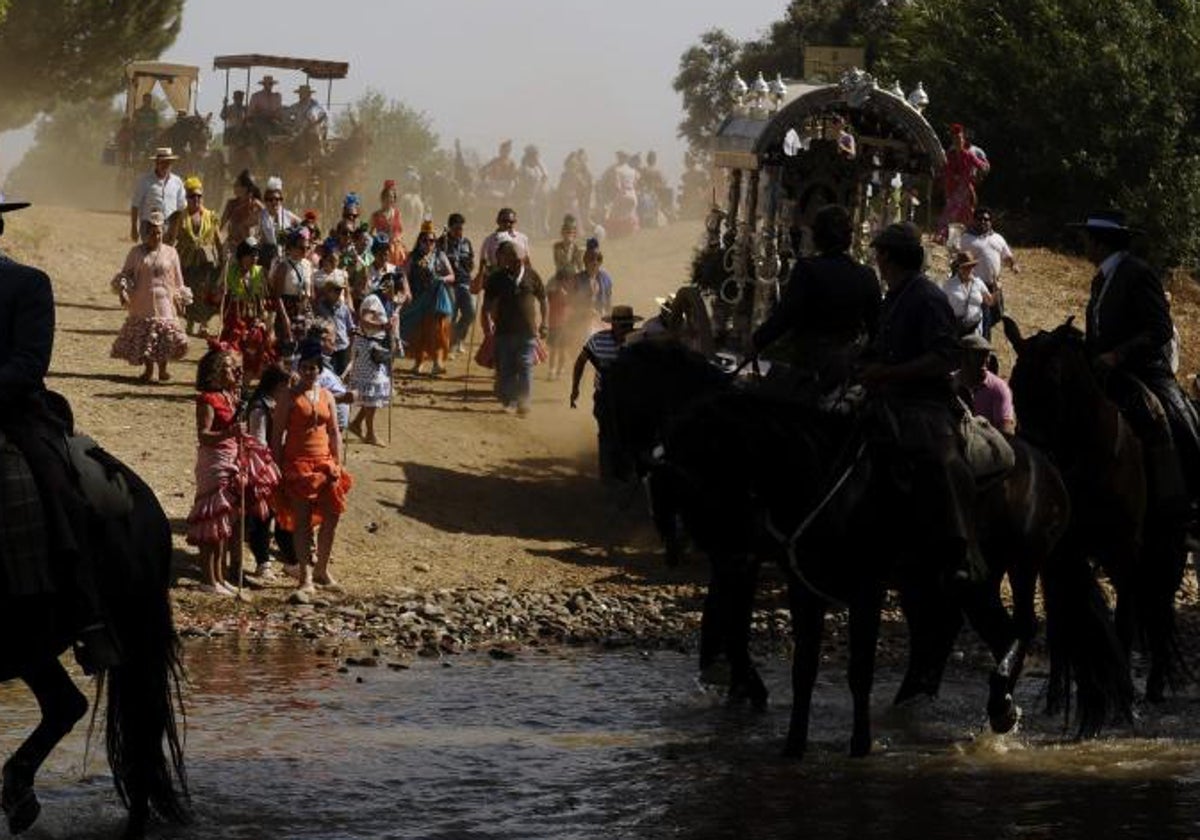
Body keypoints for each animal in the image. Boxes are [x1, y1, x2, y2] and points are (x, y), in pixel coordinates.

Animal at [657, 391, 1132, 758]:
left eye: (698, 475)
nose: (728, 558)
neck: (829, 486)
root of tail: (1046, 468)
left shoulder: (865, 592)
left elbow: (860, 672)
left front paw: (860, 747)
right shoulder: (805, 592)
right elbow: (803, 671)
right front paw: (794, 747)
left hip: (1020, 564)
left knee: (1024, 627)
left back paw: (999, 709)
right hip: (975, 583)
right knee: (1000, 634)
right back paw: (997, 710)